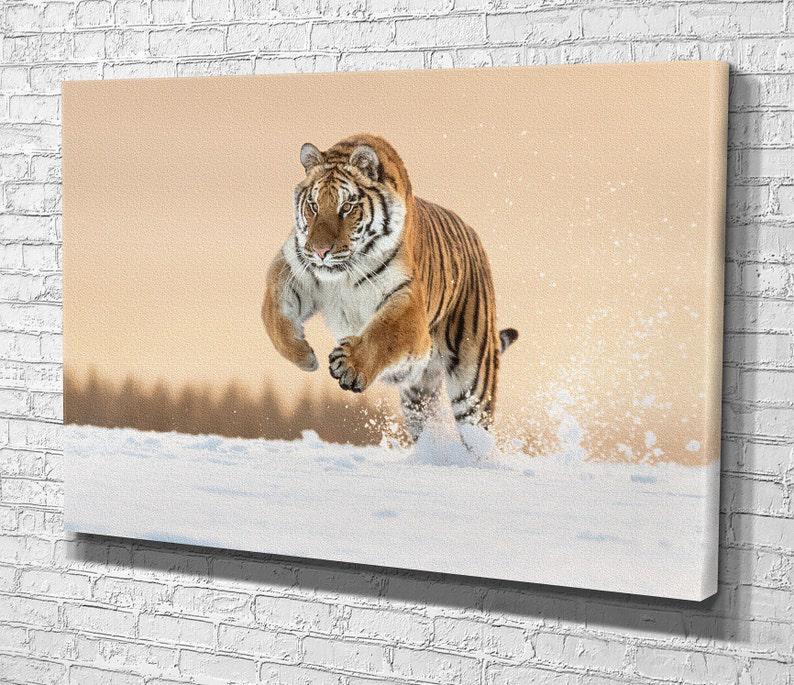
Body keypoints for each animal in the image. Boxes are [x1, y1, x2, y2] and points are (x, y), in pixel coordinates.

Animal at [262, 134, 518, 448]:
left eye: (347, 207)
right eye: (312, 204)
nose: (321, 251)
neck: (344, 272)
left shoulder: (407, 299)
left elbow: (385, 332)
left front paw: (350, 365)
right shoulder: (292, 269)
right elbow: (273, 317)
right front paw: (305, 355)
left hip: (474, 382)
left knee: (478, 434)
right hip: (418, 395)